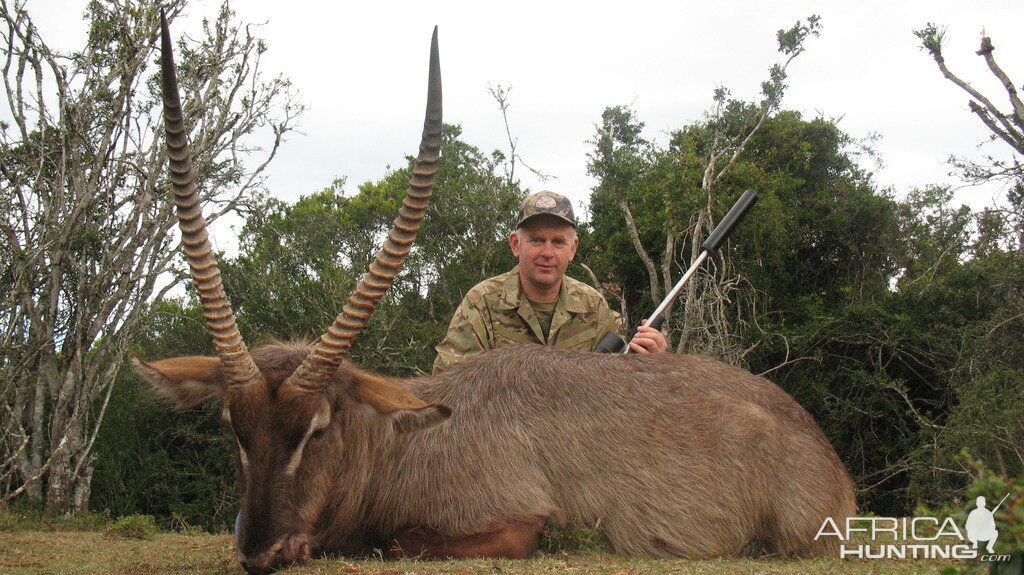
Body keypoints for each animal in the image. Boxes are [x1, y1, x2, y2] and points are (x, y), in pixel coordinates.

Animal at [136, 15, 856, 568]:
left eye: (318, 426)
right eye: (233, 426)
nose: (263, 551)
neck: (406, 444)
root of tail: (822, 447)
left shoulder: (520, 522)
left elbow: (402, 541)